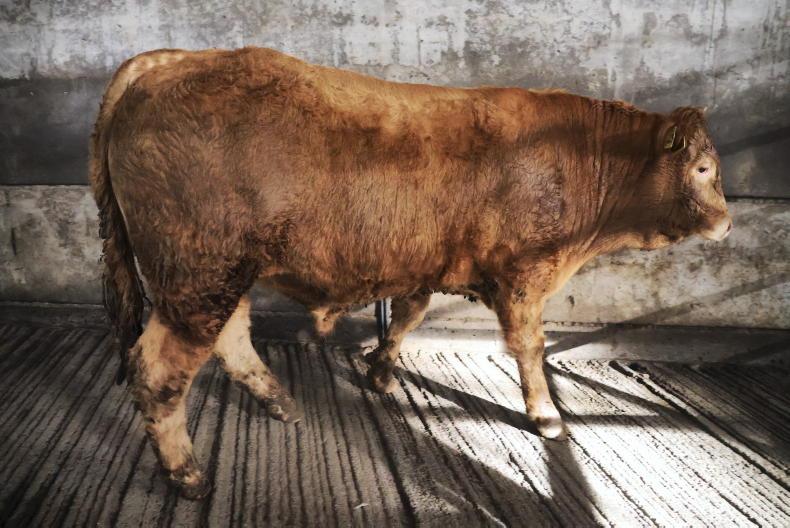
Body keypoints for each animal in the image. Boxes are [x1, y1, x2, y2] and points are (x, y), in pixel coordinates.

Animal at [90, 47, 731, 499]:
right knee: (159, 370)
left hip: (221, 275)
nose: (728, 222)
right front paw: (547, 416)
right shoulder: (525, 278)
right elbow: (529, 348)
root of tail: (169, 60)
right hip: (196, 276)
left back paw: (277, 401)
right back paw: (187, 476)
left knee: (230, 338)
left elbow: (407, 316)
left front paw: (379, 372)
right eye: (703, 168)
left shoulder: (426, 267)